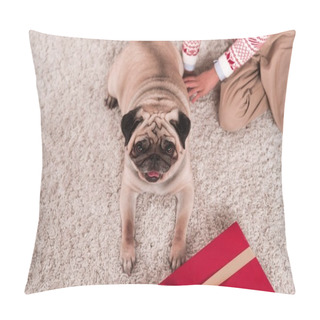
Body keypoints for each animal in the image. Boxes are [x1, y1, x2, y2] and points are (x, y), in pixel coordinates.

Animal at [106, 40, 194, 276]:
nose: (154, 157)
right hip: (114, 79)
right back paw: (110, 98)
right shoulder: (128, 192)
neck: (157, 106)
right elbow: (128, 227)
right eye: (140, 147)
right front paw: (128, 254)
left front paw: (178, 253)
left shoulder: (186, 191)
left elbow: (181, 226)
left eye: (169, 148)